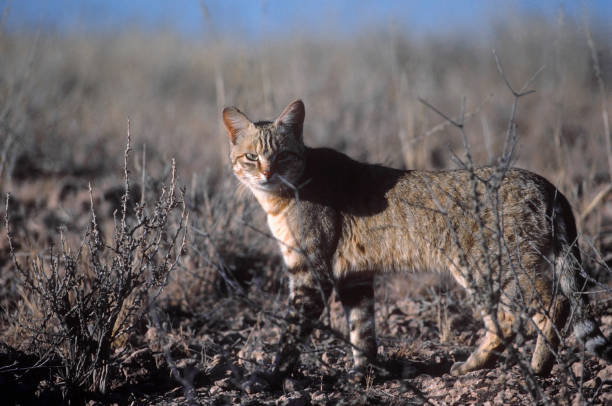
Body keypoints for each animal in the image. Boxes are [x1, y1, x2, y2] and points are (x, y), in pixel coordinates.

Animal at [221, 100, 612, 382]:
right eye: (252, 156)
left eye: (282, 154)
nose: (267, 173)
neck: (281, 198)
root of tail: (546, 183)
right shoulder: (353, 276)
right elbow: (362, 330)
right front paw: (361, 373)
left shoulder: (311, 273)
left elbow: (291, 333)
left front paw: (271, 376)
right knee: (507, 319)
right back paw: (475, 364)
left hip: (495, 267)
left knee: (552, 305)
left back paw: (537, 366)